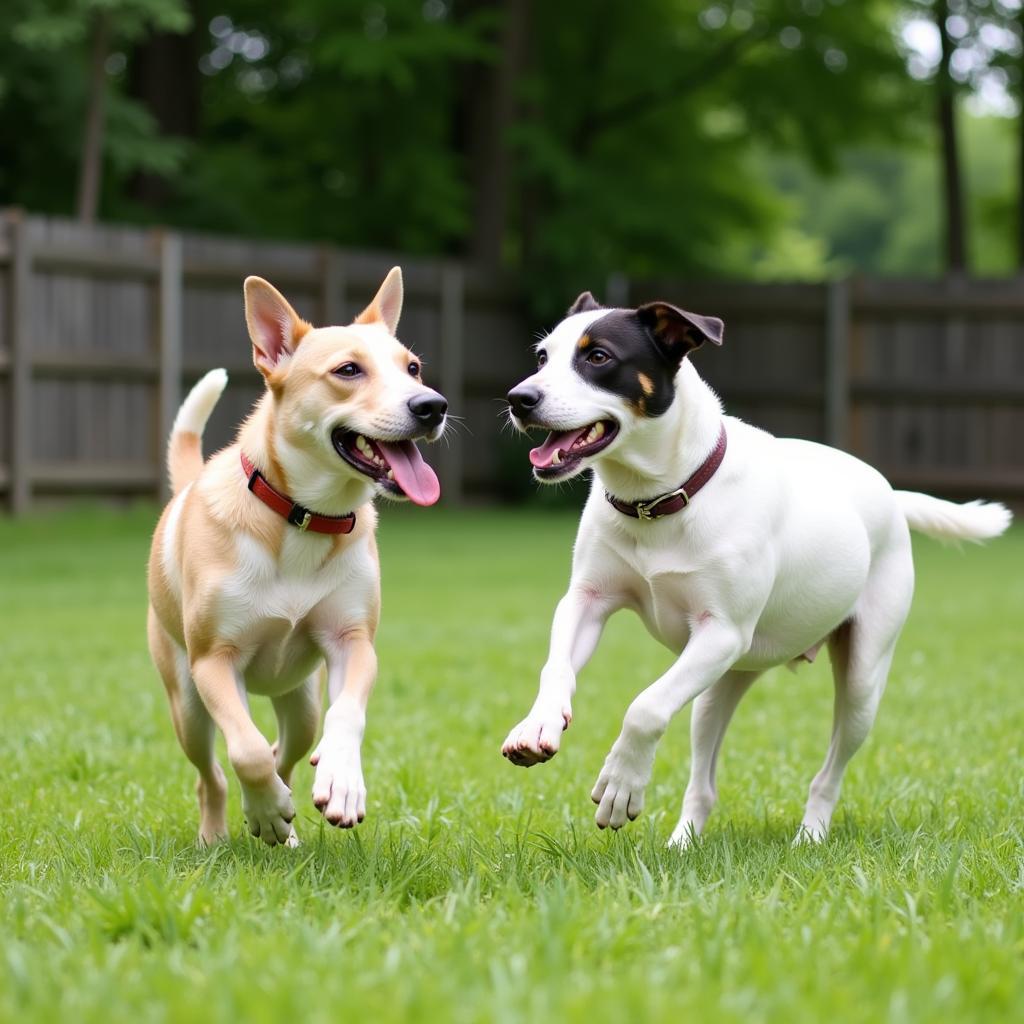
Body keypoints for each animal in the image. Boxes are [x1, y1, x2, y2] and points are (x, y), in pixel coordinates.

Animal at [147, 268, 444, 843]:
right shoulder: (214, 660)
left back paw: (286, 822)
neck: (302, 517)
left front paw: (341, 781)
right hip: (185, 701)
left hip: (301, 695)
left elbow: (346, 714)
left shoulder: (351, 640)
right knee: (213, 772)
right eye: (348, 370)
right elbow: (245, 749)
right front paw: (262, 806)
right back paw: (224, 829)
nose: (432, 405)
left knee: (290, 747)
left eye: (413, 368)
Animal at [501, 292, 1007, 843]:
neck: (660, 499)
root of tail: (892, 495)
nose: (519, 398)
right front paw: (538, 724)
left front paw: (621, 784)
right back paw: (683, 843)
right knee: (704, 775)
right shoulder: (588, 601)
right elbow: (558, 665)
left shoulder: (721, 631)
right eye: (542, 357)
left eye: (598, 357)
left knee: (830, 768)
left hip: (860, 682)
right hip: (722, 681)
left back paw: (810, 836)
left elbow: (645, 707)